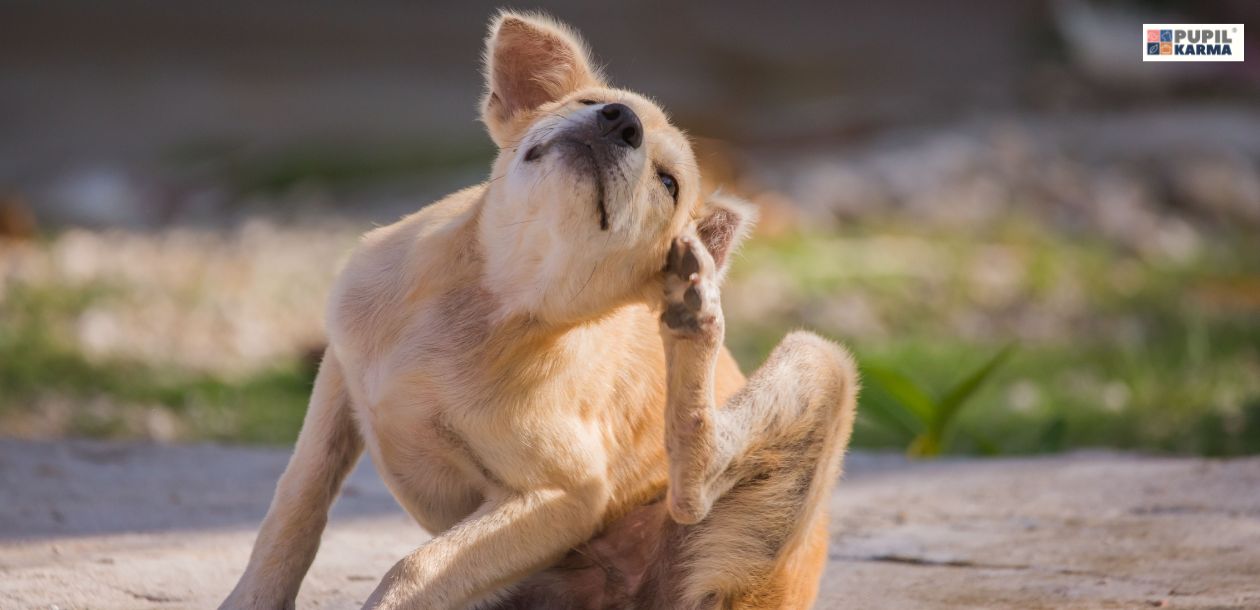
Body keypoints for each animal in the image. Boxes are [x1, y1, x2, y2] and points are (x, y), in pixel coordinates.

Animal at [224, 10, 856, 610]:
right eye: (590, 104)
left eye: (668, 183)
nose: (619, 122)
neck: (494, 295)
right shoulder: (339, 373)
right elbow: (297, 501)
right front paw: (252, 597)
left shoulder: (564, 496)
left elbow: (417, 566)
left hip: (820, 362)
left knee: (694, 488)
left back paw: (694, 314)